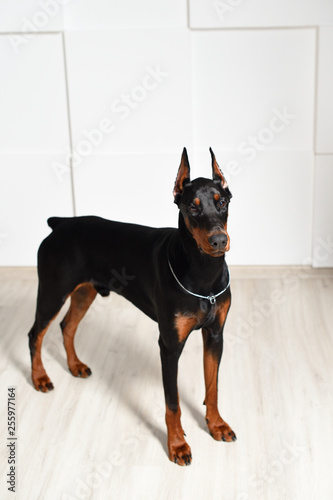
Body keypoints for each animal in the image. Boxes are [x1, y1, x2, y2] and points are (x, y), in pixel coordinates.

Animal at [29, 147, 236, 464]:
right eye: (193, 208)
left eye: (222, 202)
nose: (218, 241)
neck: (204, 274)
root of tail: (60, 223)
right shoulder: (169, 345)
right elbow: (172, 402)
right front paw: (177, 444)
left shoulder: (215, 335)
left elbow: (212, 386)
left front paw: (216, 425)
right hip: (53, 292)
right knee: (36, 334)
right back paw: (39, 377)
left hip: (85, 292)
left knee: (67, 325)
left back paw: (75, 365)